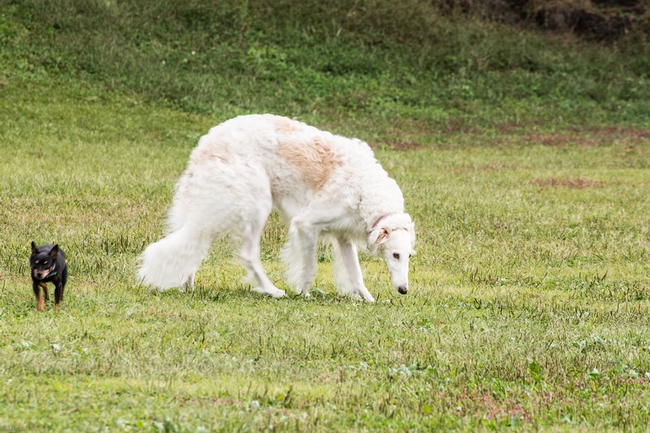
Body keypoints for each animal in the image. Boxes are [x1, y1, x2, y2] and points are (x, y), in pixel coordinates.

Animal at [139, 114, 418, 300]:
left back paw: (188, 284)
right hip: (256, 205)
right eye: (395, 255)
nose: (404, 290)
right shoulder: (306, 225)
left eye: (408, 256)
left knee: (191, 244)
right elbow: (309, 268)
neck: (366, 189)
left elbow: (356, 275)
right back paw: (272, 290)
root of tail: (206, 145)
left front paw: (368, 299)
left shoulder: (343, 235)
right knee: (247, 255)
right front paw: (304, 294)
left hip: (205, 211)